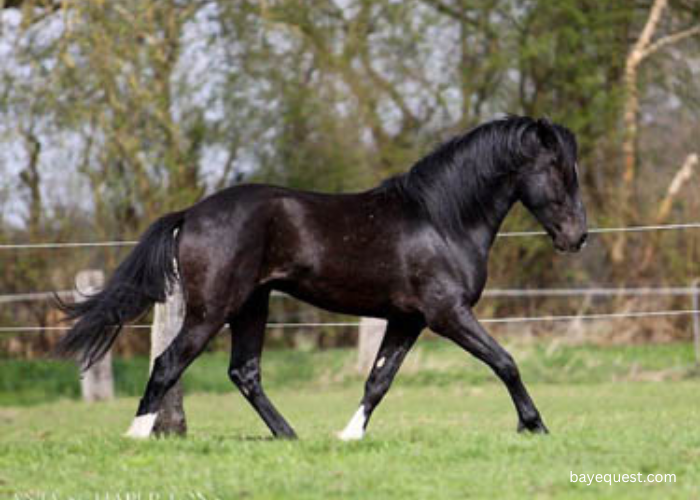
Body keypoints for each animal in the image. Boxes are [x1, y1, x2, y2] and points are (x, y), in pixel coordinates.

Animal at [58, 115, 584, 440]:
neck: (442, 221)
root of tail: (191, 214)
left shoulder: (408, 320)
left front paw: (348, 435)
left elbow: (379, 379)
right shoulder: (446, 314)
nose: (576, 237)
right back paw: (136, 435)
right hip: (213, 309)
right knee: (169, 364)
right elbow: (505, 362)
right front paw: (535, 425)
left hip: (252, 305)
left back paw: (291, 437)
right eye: (559, 171)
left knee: (244, 372)